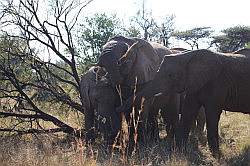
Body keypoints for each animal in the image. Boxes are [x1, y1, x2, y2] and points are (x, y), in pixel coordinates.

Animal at [118, 49, 250, 157]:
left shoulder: (217, 83)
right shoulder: (194, 83)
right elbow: (188, 111)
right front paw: (179, 152)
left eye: (170, 75)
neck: (187, 57)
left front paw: (216, 155)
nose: (116, 109)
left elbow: (212, 113)